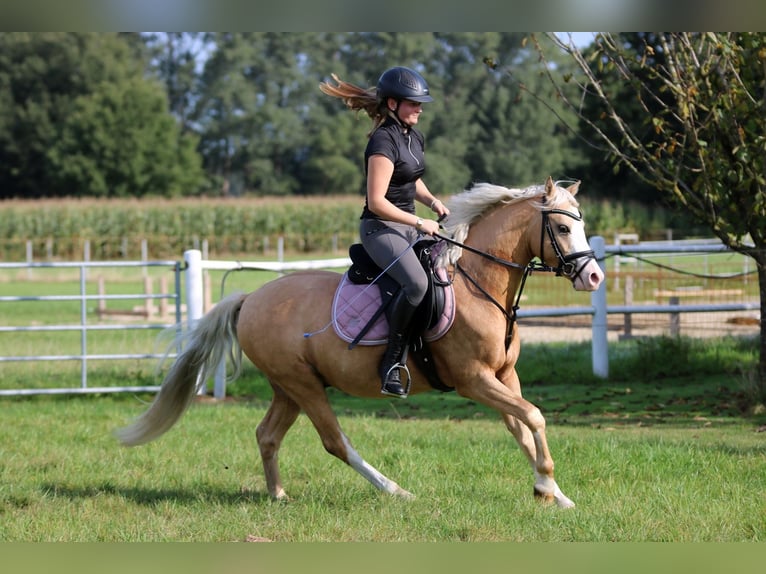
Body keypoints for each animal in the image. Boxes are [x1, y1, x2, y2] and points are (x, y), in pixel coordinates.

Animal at [116, 176, 604, 508]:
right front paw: (546, 484)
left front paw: (553, 493)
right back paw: (396, 490)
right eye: (563, 230)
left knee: (267, 435)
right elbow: (534, 417)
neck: (476, 282)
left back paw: (278, 495)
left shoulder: (504, 375)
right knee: (335, 441)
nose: (594, 277)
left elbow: (521, 427)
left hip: (289, 387)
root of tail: (251, 298)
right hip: (304, 386)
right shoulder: (474, 380)